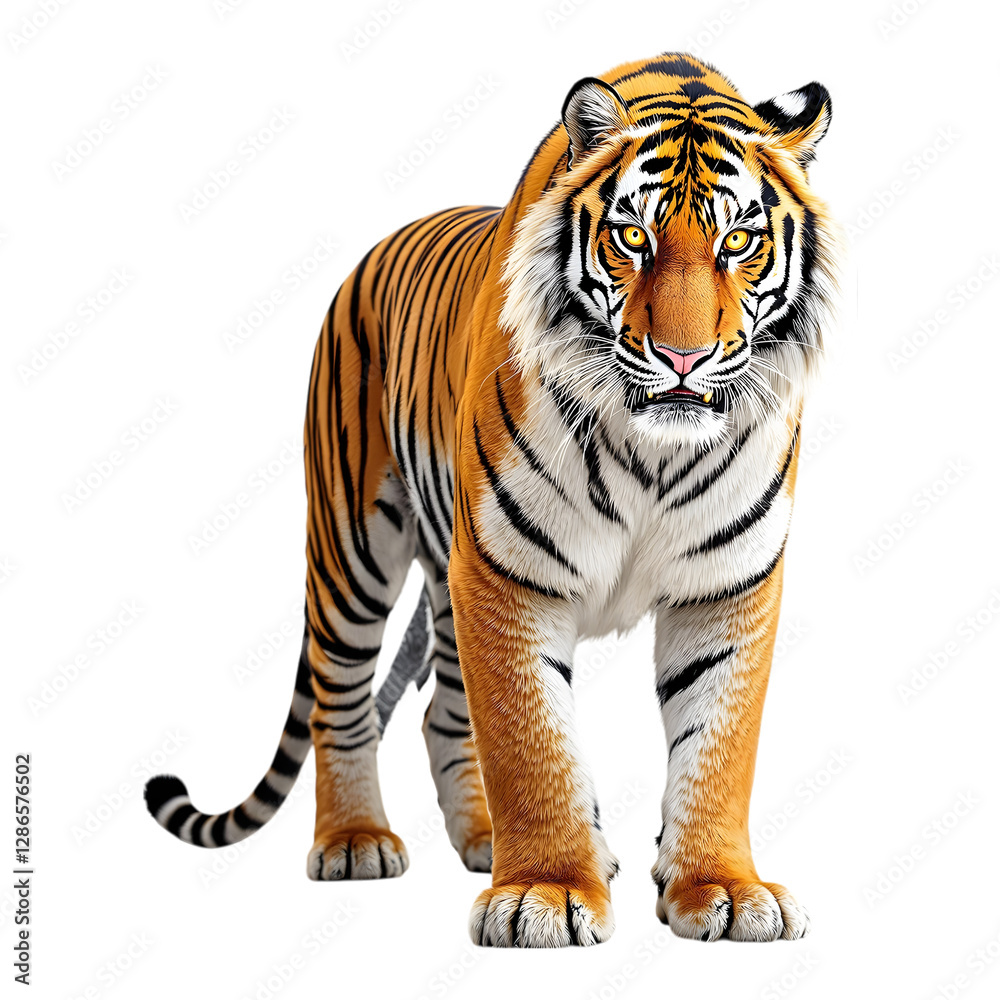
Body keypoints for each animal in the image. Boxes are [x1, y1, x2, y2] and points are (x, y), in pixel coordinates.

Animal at [145, 51, 837, 948]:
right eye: (633, 237)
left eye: (739, 241)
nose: (682, 358)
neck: (653, 450)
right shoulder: (506, 575)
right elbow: (529, 738)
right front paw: (546, 893)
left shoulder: (727, 585)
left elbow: (718, 745)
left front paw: (722, 888)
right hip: (353, 545)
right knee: (342, 697)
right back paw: (356, 841)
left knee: (441, 712)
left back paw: (480, 839)